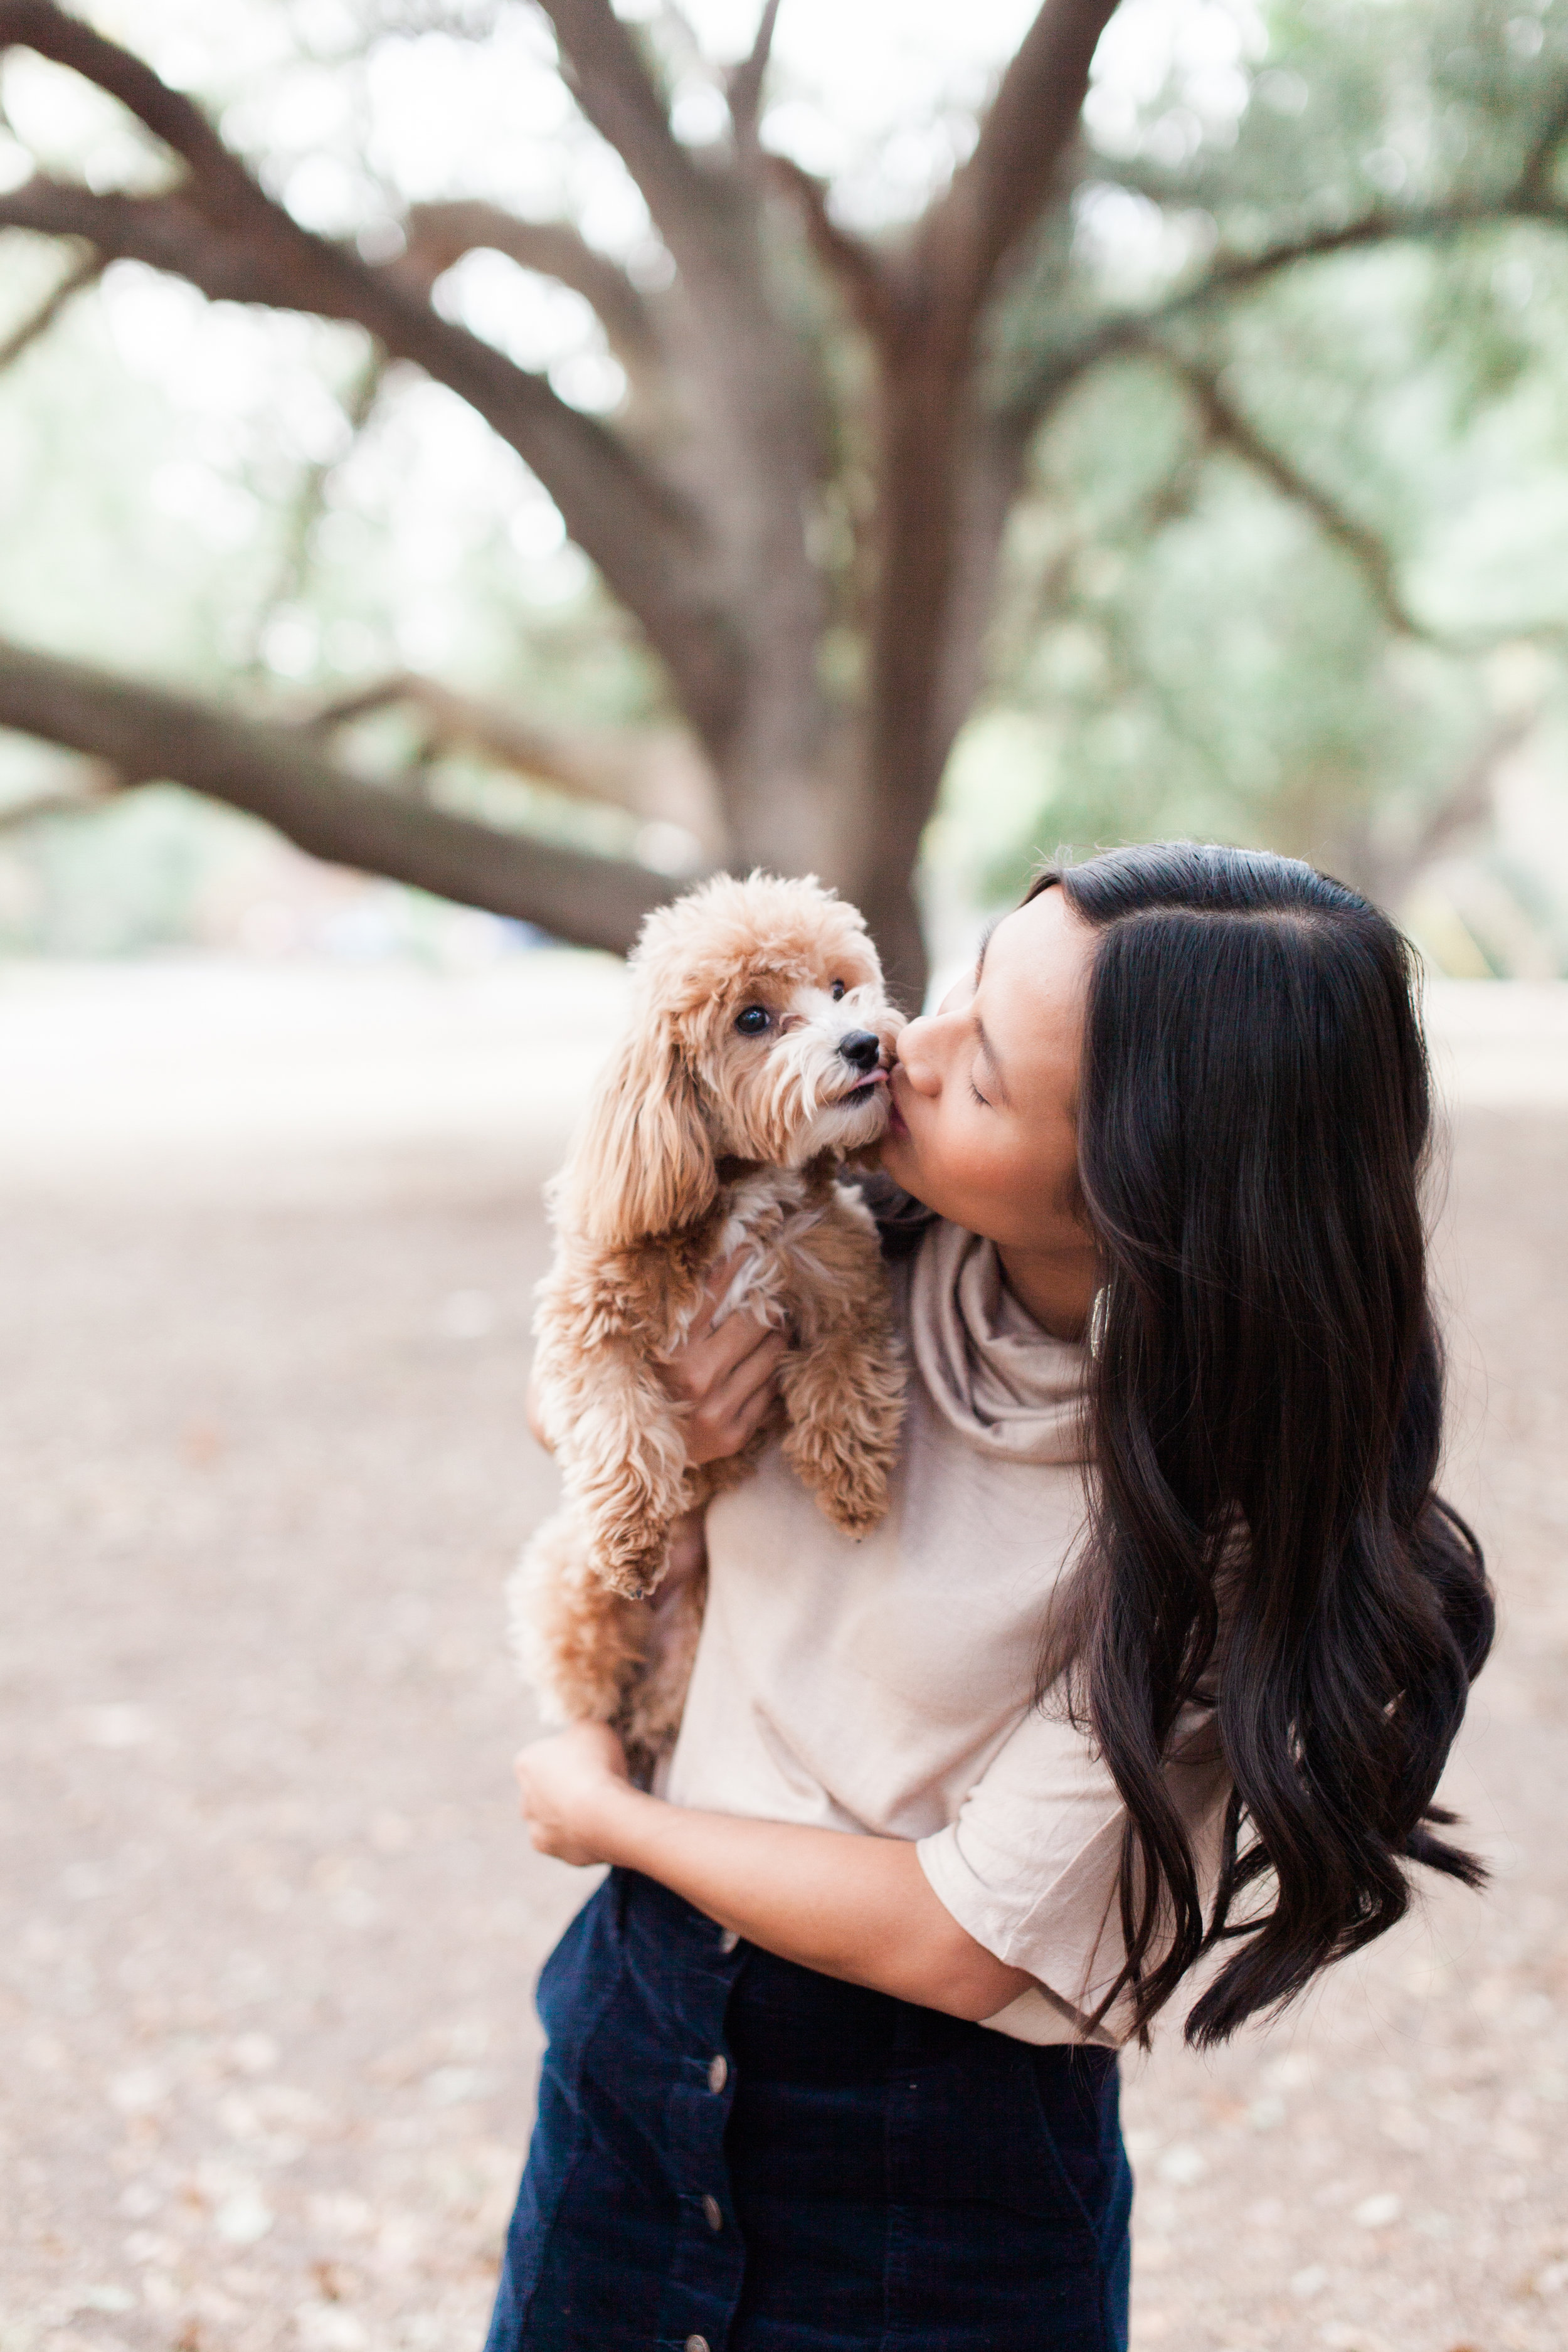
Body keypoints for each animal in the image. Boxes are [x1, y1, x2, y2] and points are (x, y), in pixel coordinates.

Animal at [512, 870, 907, 1769]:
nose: (865, 1044)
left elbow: (845, 1377)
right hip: (566, 1583)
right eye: (752, 1019)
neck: (740, 1184)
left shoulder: (841, 1283)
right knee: (591, 1689)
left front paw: (851, 1485)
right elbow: (620, 1422)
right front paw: (632, 1535)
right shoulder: (589, 1319)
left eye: (841, 987)